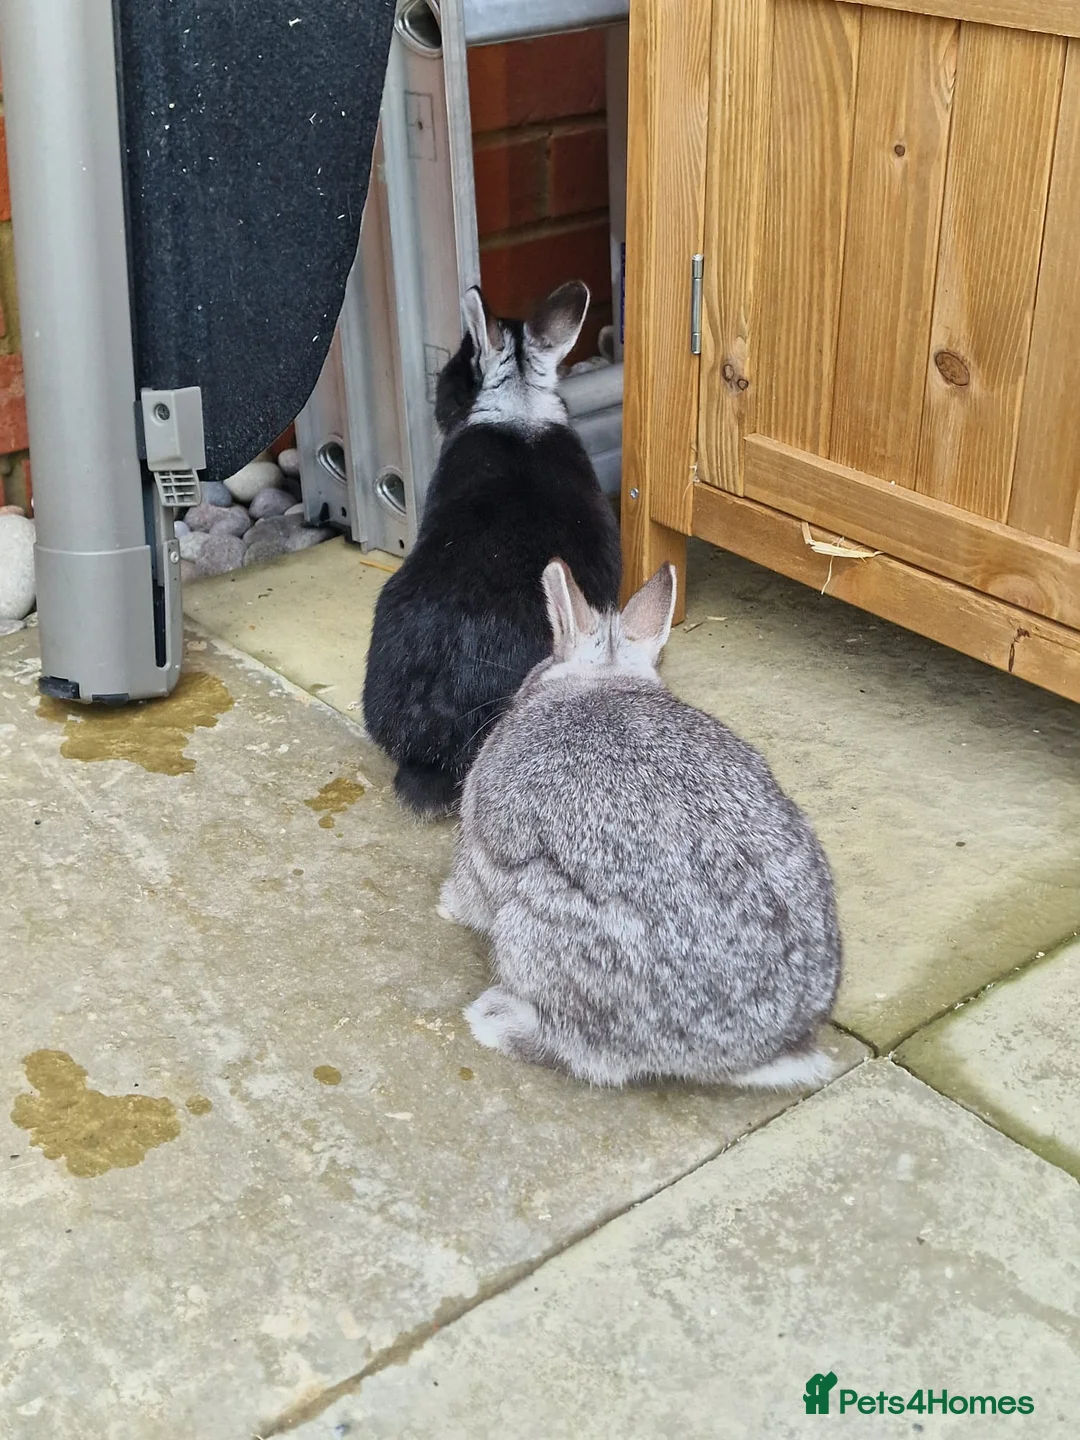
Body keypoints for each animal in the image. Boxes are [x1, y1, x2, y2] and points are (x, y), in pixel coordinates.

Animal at [439, 559, 843, 1089]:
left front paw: (447, 905)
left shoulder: (482, 850)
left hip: (533, 928)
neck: (601, 682)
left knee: (590, 1054)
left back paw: (494, 1020)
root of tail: (758, 1052)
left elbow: (471, 889)